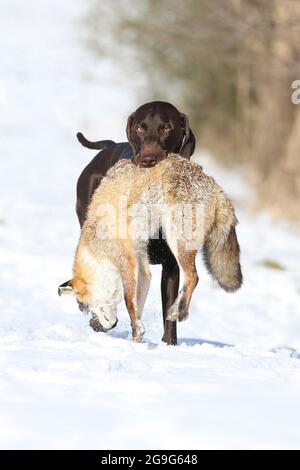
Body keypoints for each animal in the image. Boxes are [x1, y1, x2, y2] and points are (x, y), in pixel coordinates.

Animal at [58, 154, 241, 342]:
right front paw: (136, 338)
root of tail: (212, 183)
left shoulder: (127, 261)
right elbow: (136, 310)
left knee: (193, 277)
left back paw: (179, 311)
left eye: (86, 306)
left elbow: (128, 302)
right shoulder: (142, 265)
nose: (98, 327)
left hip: (176, 238)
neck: (97, 250)